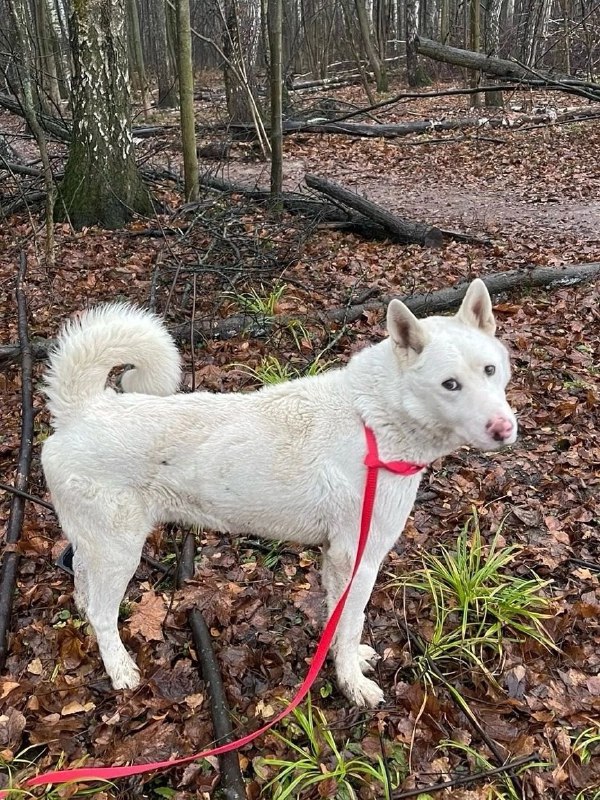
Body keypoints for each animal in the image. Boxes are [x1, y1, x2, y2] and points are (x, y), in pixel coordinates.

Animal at [41, 280, 516, 708]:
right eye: (450, 384)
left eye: (490, 370)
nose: (505, 428)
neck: (374, 423)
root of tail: (81, 409)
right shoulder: (357, 557)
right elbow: (353, 622)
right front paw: (352, 684)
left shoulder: (335, 557)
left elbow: (337, 621)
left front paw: (343, 663)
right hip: (121, 550)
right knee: (103, 615)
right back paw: (120, 669)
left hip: (99, 545)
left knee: (82, 580)